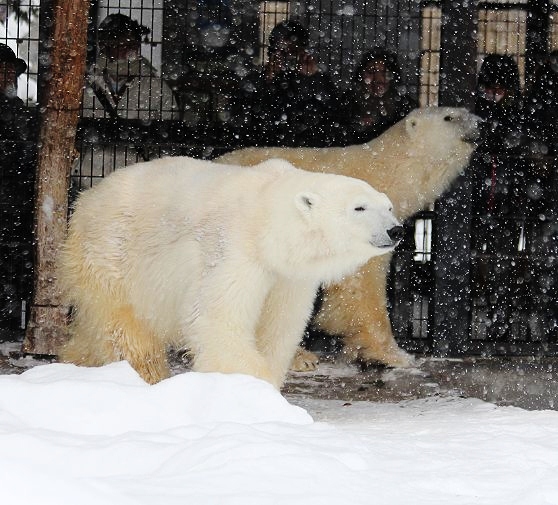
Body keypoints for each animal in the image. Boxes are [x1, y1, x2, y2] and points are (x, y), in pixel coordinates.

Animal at [58, 157, 402, 386]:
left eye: (388, 206)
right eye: (359, 207)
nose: (396, 230)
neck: (267, 217)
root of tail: (87, 197)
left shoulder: (287, 277)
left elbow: (279, 327)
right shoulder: (234, 250)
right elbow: (216, 319)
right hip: (114, 253)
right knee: (126, 327)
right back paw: (148, 375)